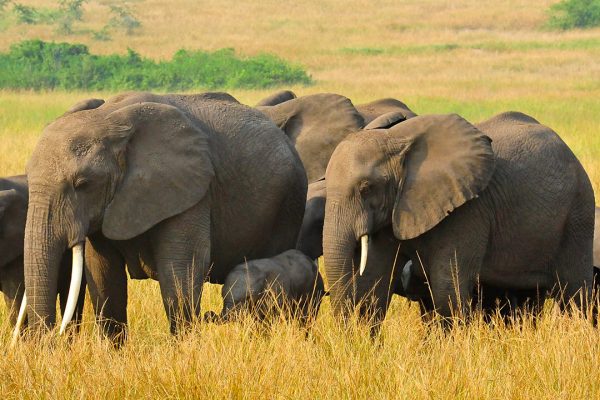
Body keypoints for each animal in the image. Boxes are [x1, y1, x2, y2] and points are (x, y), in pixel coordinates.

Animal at [21, 91, 308, 340]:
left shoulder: (190, 189)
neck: (110, 119)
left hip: (288, 203)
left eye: (82, 184)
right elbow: (102, 274)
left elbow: (180, 269)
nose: (48, 344)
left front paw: (184, 352)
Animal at [322, 110, 592, 328]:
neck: (396, 140)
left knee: (576, 293)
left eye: (366, 188)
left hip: (577, 215)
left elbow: (447, 289)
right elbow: (374, 282)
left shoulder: (468, 210)